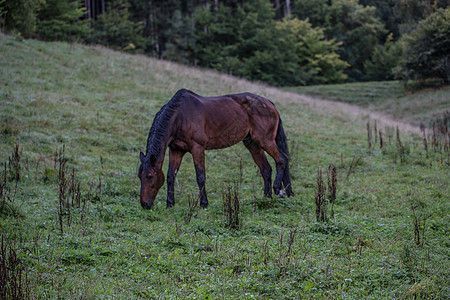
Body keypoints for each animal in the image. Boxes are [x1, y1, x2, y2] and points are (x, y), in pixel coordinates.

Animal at [139, 88, 294, 209]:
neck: (180, 116)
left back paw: (277, 189)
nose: (144, 204)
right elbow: (171, 176)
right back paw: (266, 197)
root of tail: (270, 104)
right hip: (253, 144)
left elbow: (200, 176)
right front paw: (170, 203)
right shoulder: (176, 150)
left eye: (150, 176)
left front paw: (203, 203)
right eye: (140, 176)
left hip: (265, 140)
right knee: (266, 169)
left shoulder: (197, 148)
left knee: (281, 159)